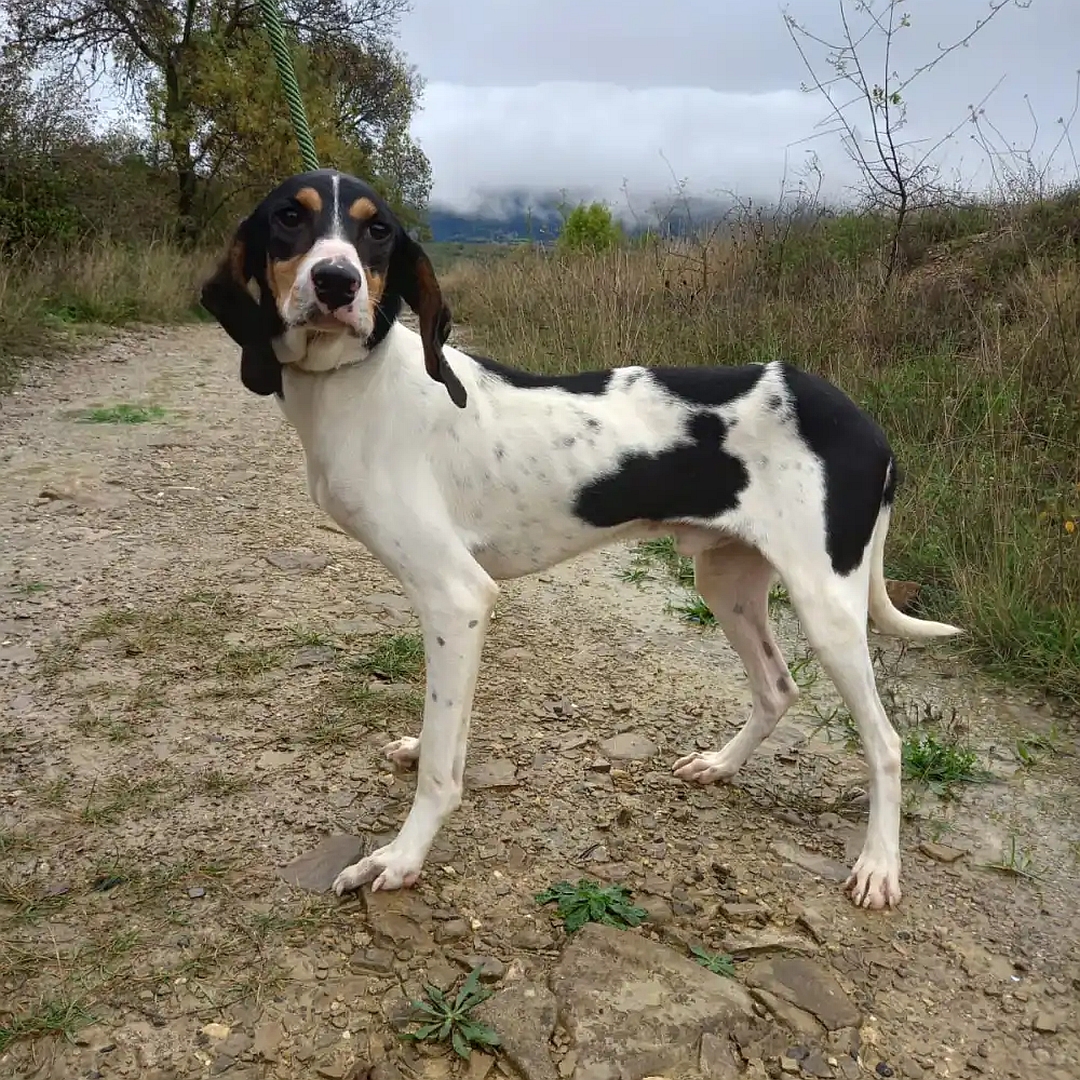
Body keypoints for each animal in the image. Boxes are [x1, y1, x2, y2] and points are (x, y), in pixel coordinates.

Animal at [203, 168, 963, 911]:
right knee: (777, 688)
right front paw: (426, 755)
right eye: (289, 218)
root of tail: (864, 422)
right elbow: (448, 730)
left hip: (826, 603)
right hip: (726, 581)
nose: (336, 282)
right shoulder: (460, 614)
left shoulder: (457, 597)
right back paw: (721, 765)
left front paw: (401, 856)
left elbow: (443, 770)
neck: (360, 388)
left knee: (887, 743)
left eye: (378, 230)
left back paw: (878, 866)